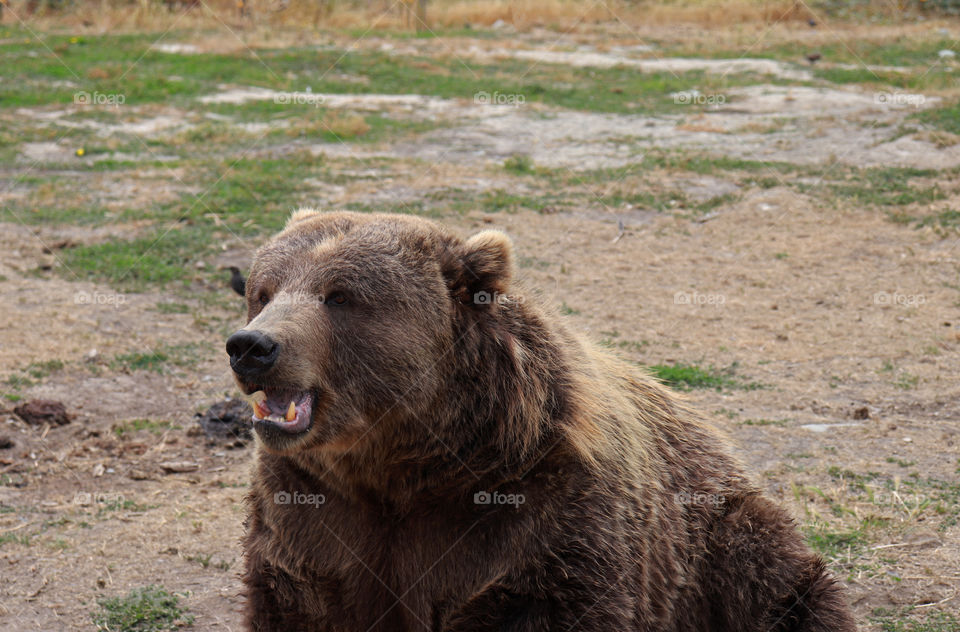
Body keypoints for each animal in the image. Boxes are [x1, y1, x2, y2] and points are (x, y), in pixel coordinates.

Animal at [227, 210, 856, 628]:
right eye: (264, 290)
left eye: (340, 296)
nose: (252, 346)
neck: (404, 465)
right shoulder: (315, 515)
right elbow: (297, 600)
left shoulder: (535, 512)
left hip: (717, 546)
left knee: (784, 589)